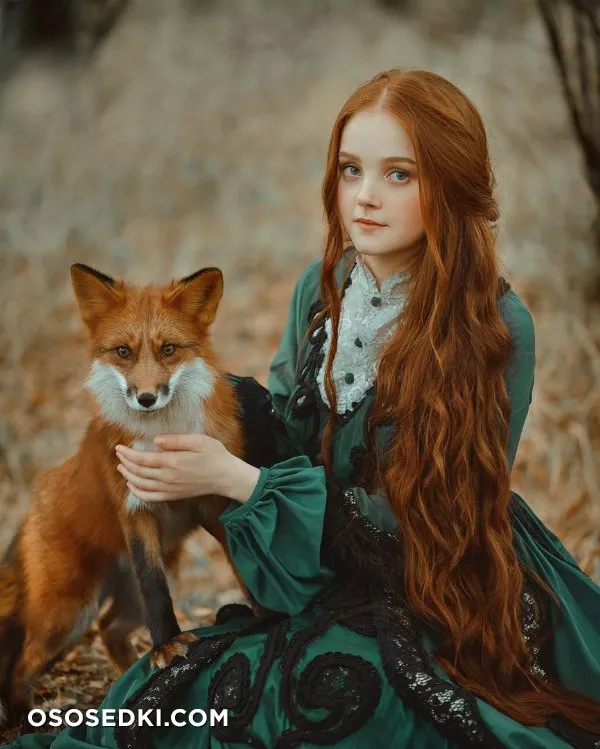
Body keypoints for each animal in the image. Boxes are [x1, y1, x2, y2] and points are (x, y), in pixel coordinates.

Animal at [0, 263, 259, 727]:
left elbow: (243, 568)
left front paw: (272, 617)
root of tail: (37, 497)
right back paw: (27, 718)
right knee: (21, 665)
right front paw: (166, 648)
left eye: (168, 349)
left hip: (127, 594)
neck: (161, 439)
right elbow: (155, 589)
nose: (146, 397)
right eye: (123, 352)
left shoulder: (213, 504)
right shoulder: (133, 511)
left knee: (109, 629)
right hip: (67, 613)